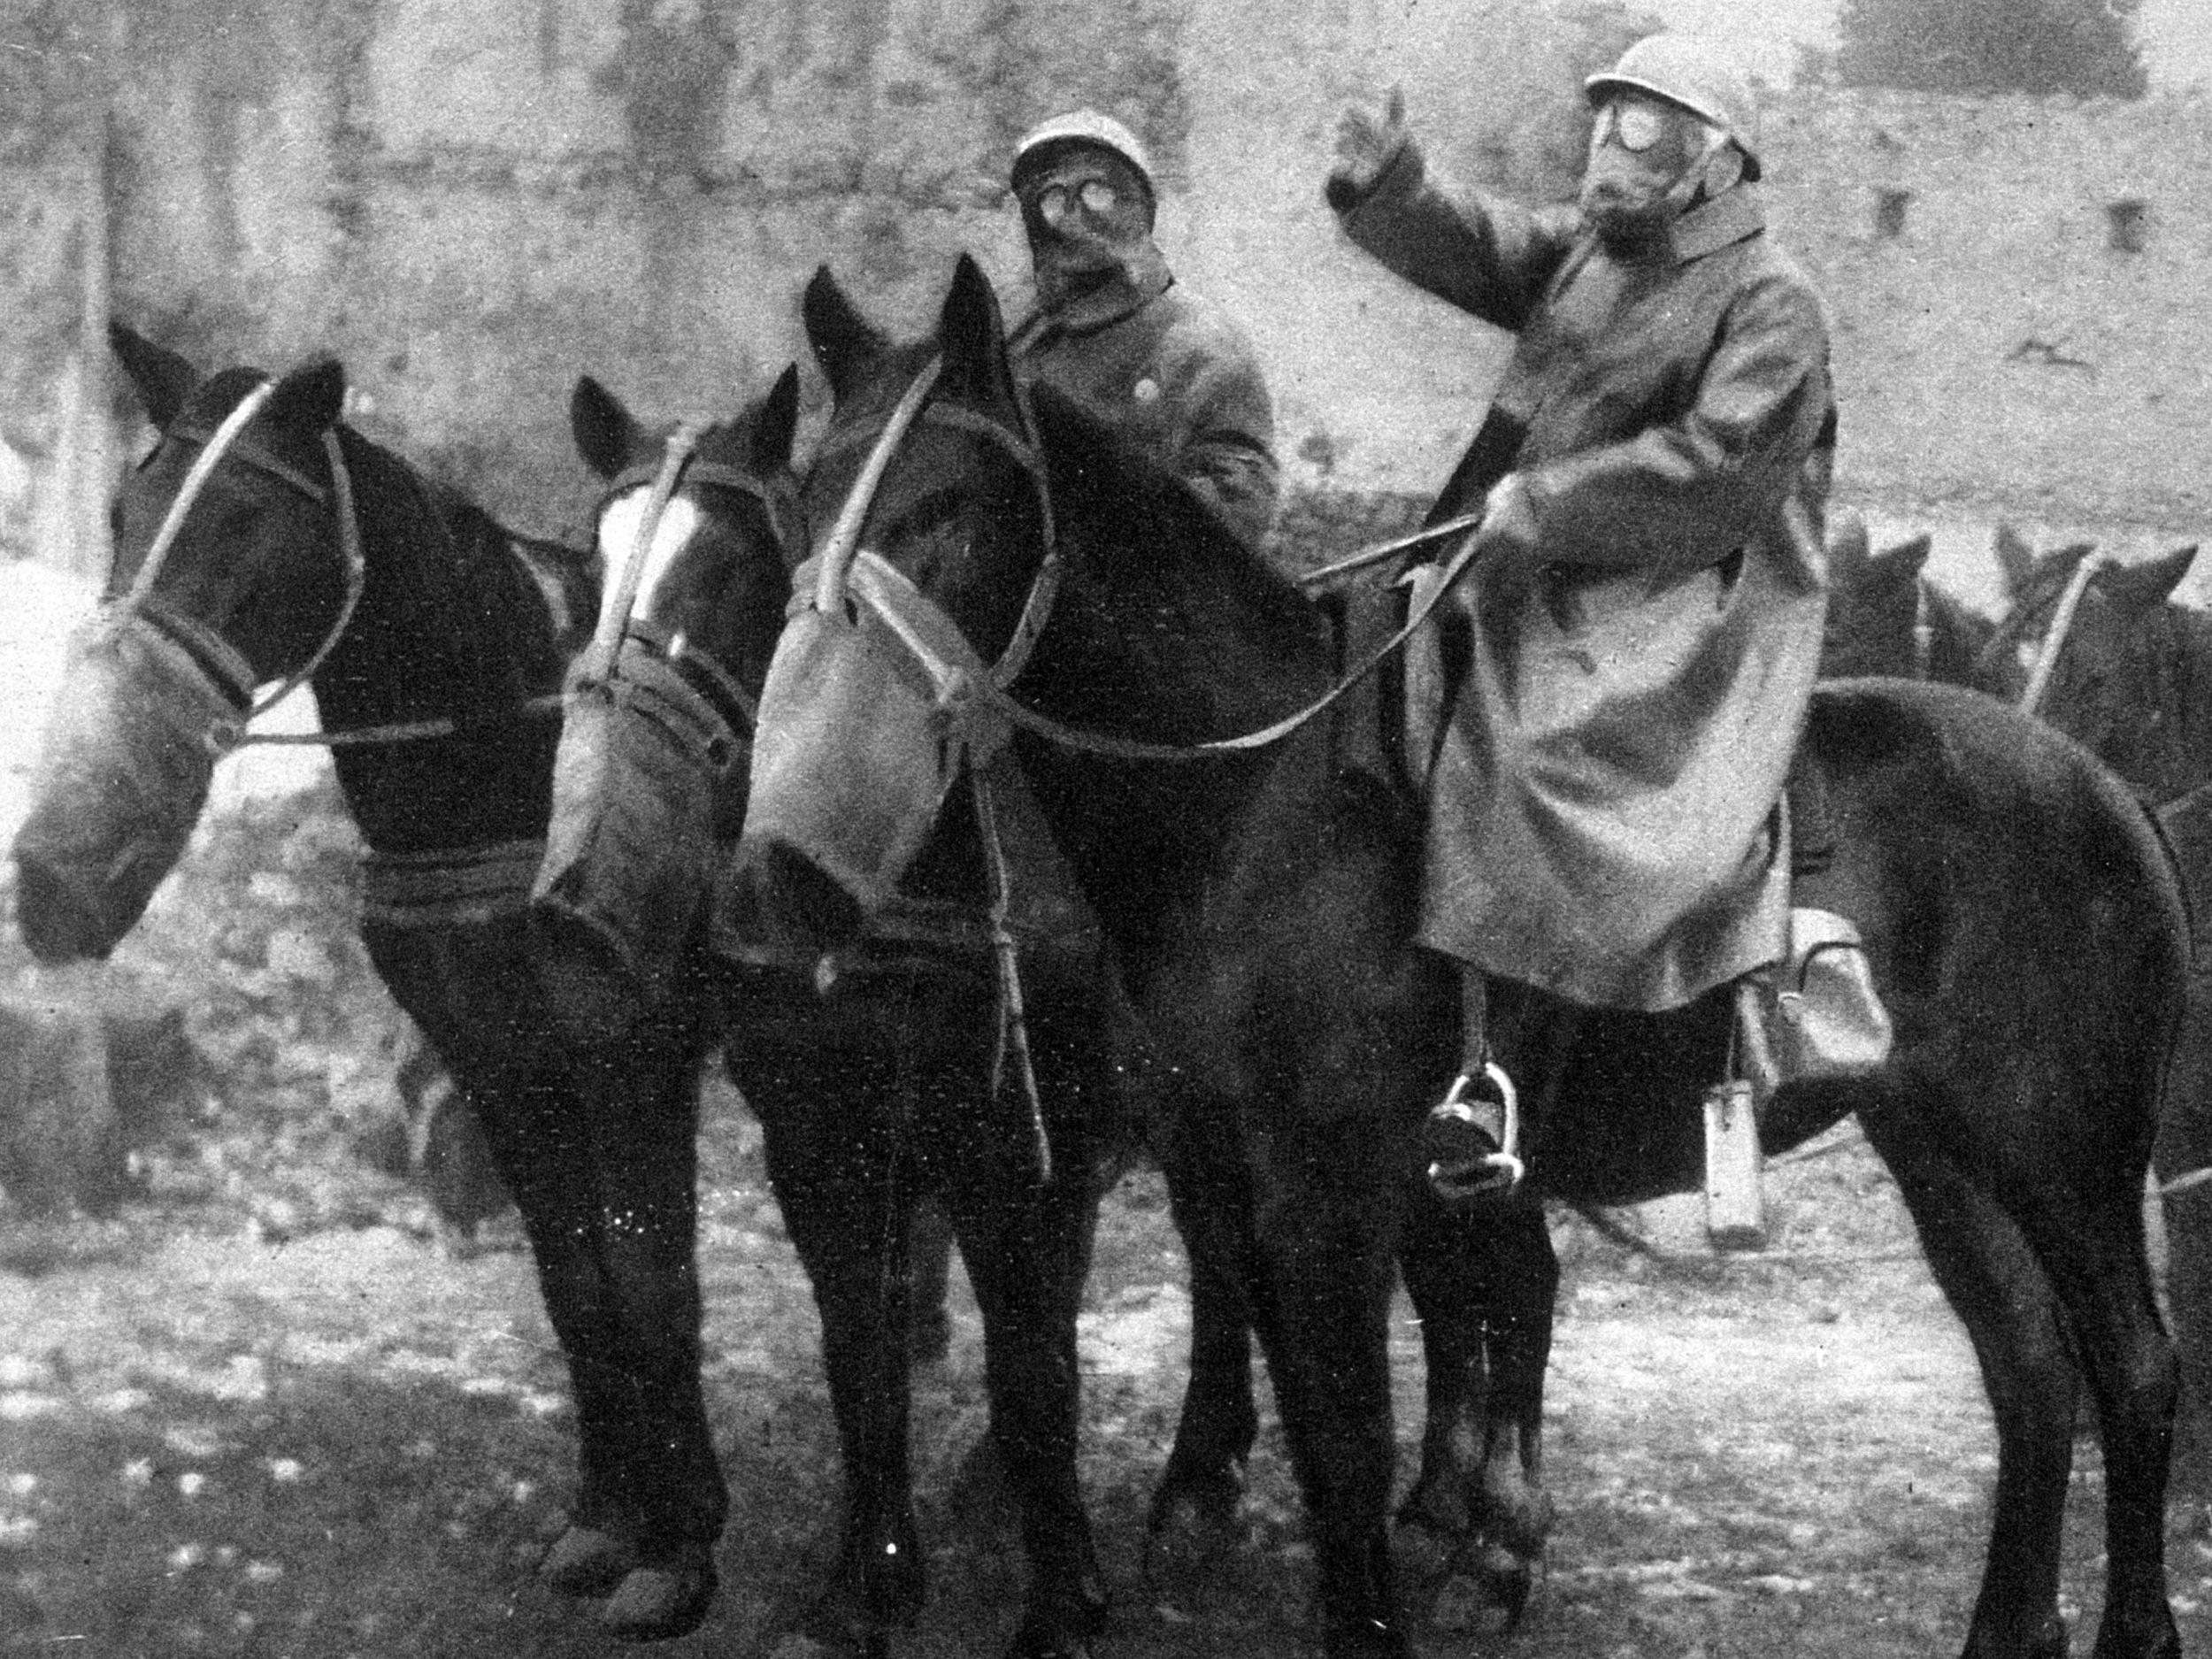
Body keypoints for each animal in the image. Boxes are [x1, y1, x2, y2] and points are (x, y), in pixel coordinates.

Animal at [12, 332, 730, 1646]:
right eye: (124, 514)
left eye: (249, 523)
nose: (50, 882)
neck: (515, 748)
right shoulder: (502, 1059)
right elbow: (577, 1285)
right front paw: (607, 1520)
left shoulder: (634, 1057)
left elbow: (654, 1285)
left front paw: (685, 1547)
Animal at [526, 376, 1124, 1659]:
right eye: (587, 579)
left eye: (733, 567)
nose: (578, 911)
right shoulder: (820, 1131)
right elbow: (857, 1341)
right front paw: (864, 1585)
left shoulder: (1011, 1147)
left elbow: (1032, 1366)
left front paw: (1062, 1596)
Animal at [726, 250, 2194, 1659]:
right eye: (800, 504)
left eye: (950, 504)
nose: (779, 880)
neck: (1256, 804)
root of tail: (2105, 787)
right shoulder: (1233, 1180)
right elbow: (1290, 1405)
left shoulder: (1325, 1195)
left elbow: (1346, 1440)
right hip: (1940, 1145)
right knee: (2029, 1367)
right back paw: (2006, 1624)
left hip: (2063, 1151)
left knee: (2132, 1364)